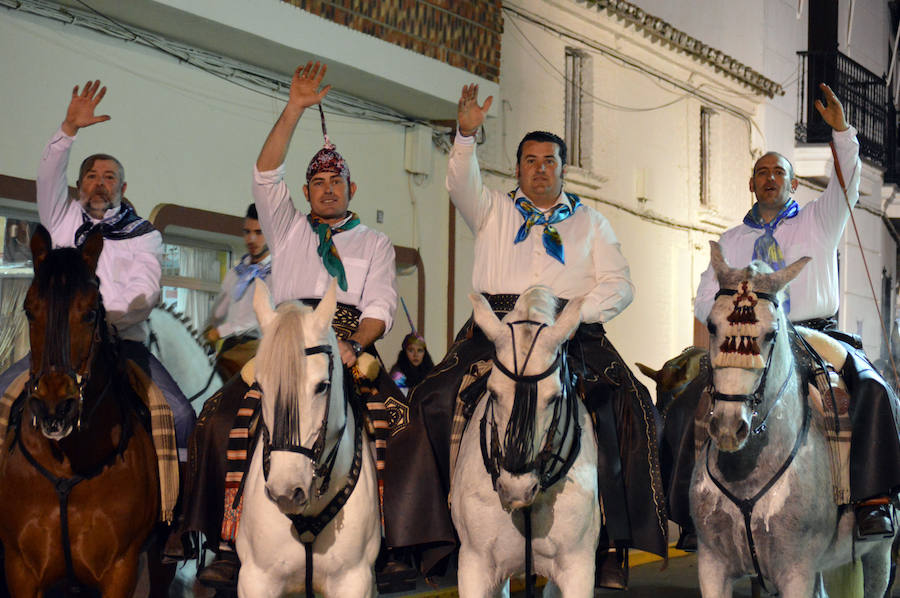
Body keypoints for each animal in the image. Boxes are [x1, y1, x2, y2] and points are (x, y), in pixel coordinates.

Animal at [0, 226, 160, 598]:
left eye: (89, 313)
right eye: (29, 310)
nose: (54, 407)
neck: (66, 463)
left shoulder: (120, 570)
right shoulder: (21, 569)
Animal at [692, 243, 896, 598]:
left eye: (771, 333)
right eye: (712, 326)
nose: (730, 427)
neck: (746, 474)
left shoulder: (795, 572)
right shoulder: (712, 566)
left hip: (879, 553)